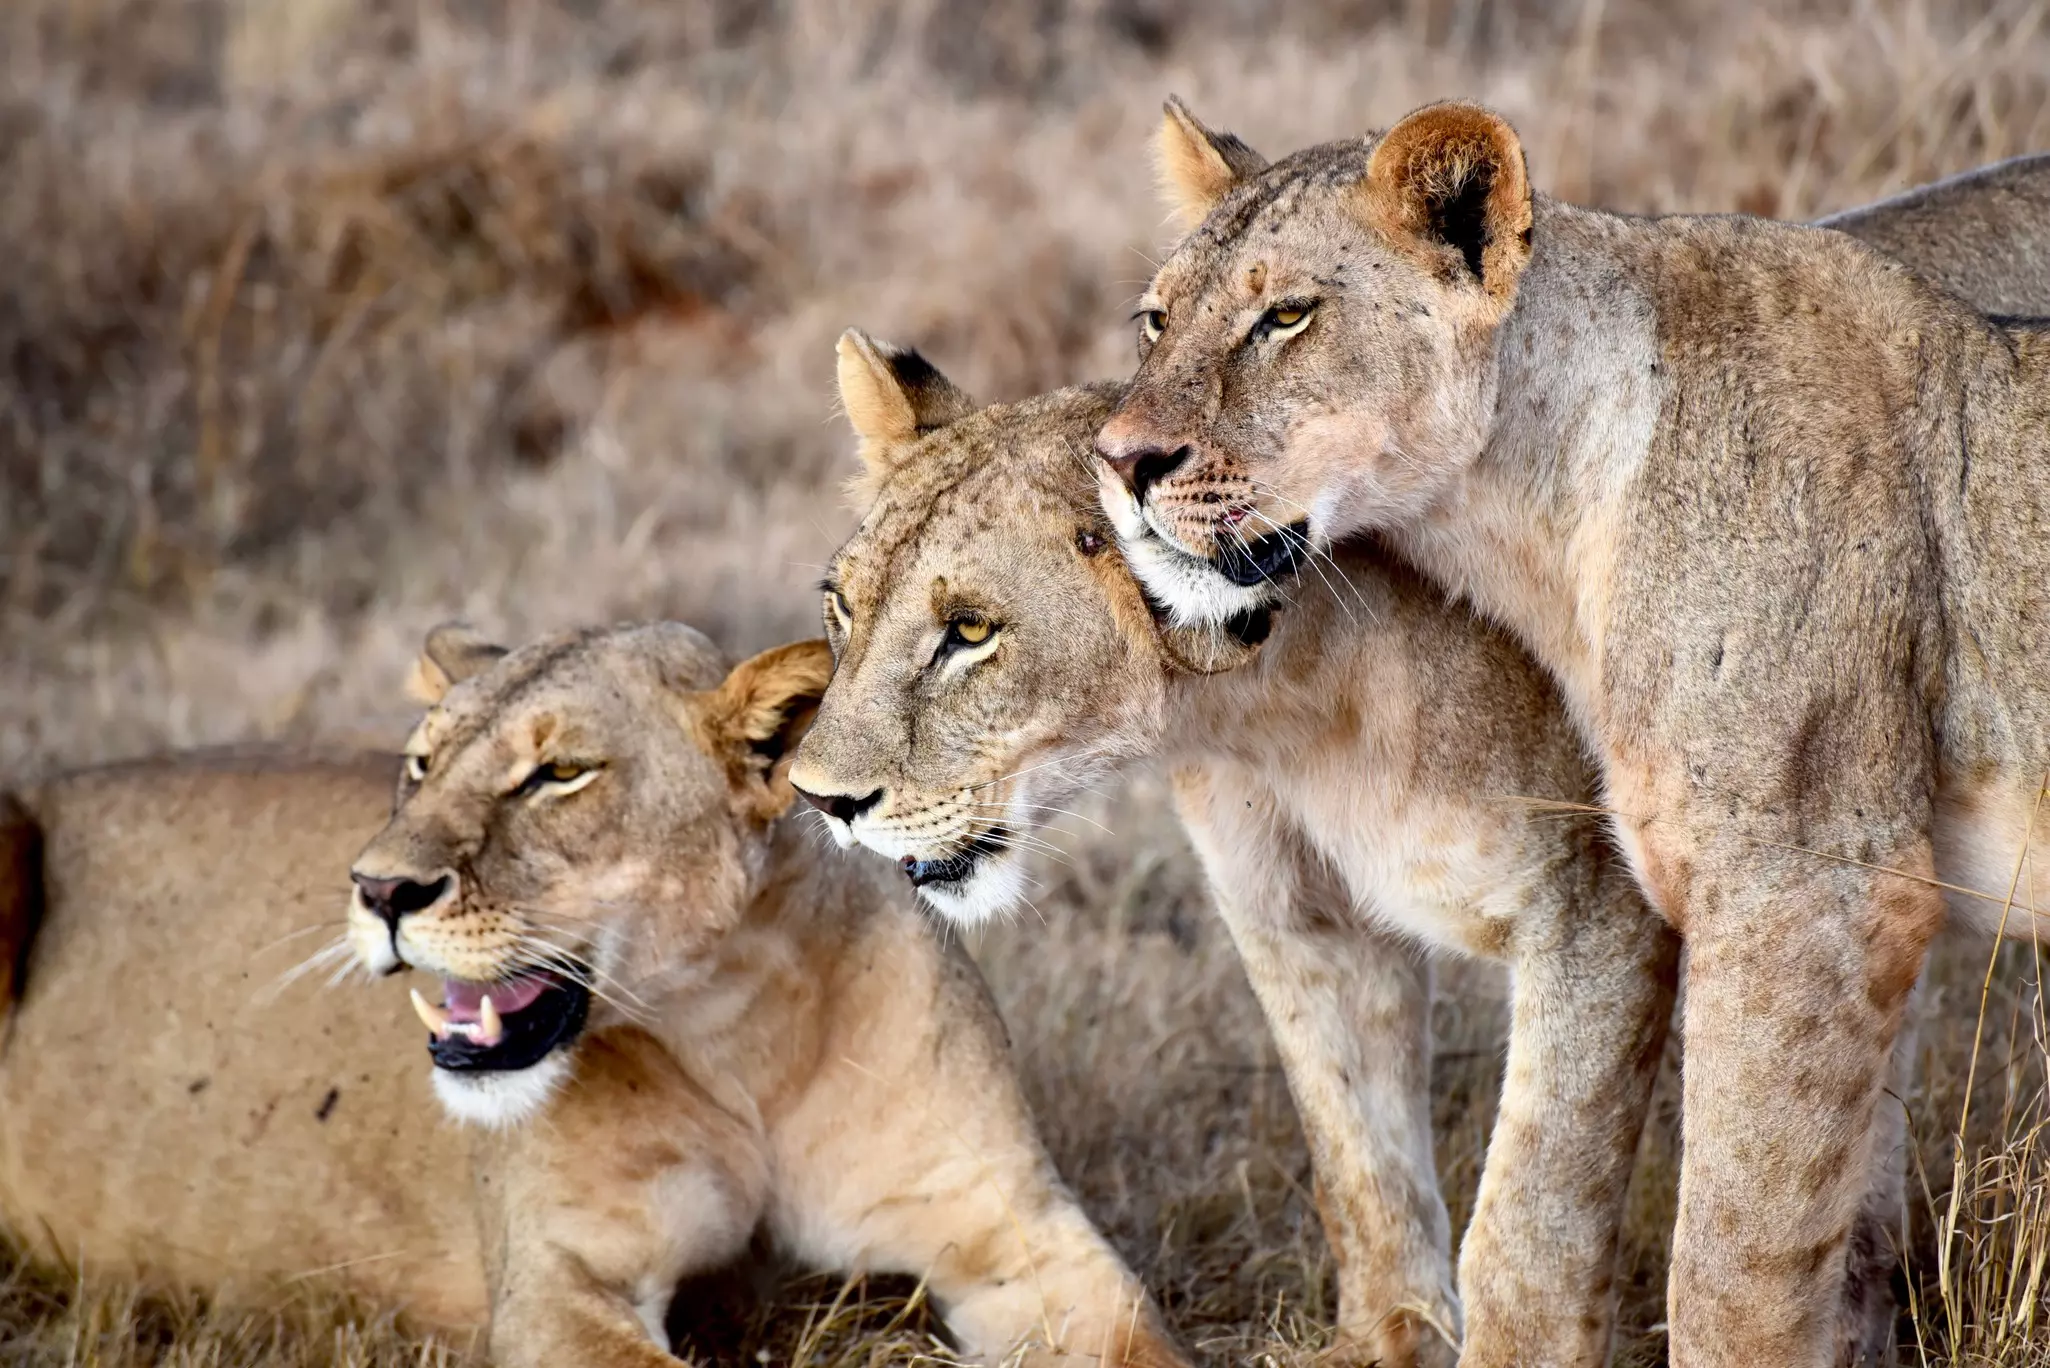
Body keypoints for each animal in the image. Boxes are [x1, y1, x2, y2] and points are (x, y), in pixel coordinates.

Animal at [0, 623, 1185, 1368]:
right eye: (420, 765)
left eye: (558, 775)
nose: (377, 889)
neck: (735, 1031)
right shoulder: (557, 1286)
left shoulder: (1010, 1229)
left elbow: (1143, 1344)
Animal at [1093, 99, 2050, 1367]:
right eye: (1157, 320)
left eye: (1285, 316)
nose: (1120, 462)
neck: (1538, 519)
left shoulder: (1815, 887)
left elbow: (1726, 1268)